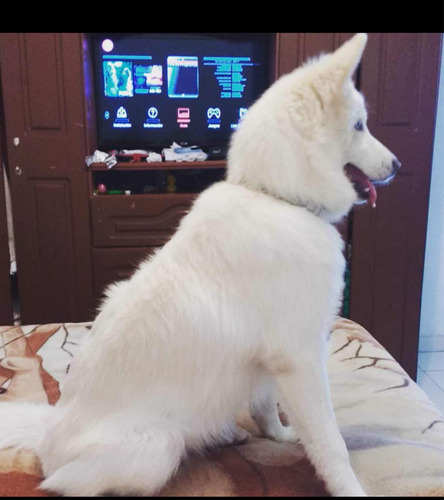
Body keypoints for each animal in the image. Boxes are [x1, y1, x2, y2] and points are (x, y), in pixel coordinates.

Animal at [0, 34, 398, 496]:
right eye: (360, 125)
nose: (399, 166)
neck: (275, 196)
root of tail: (47, 436)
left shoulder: (269, 361)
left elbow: (266, 405)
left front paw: (279, 435)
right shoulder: (300, 358)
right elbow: (330, 441)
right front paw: (348, 486)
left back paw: (228, 432)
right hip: (157, 449)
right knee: (69, 484)